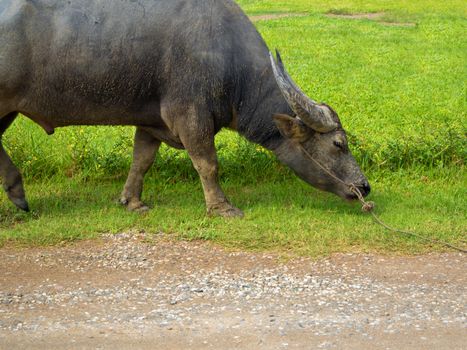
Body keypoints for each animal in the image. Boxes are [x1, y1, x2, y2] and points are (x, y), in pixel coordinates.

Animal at [1, 0, 372, 216]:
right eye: (338, 144)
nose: (364, 187)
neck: (227, 54)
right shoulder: (190, 116)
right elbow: (208, 164)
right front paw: (221, 207)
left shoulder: (150, 122)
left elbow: (141, 160)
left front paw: (132, 201)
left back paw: (18, 194)